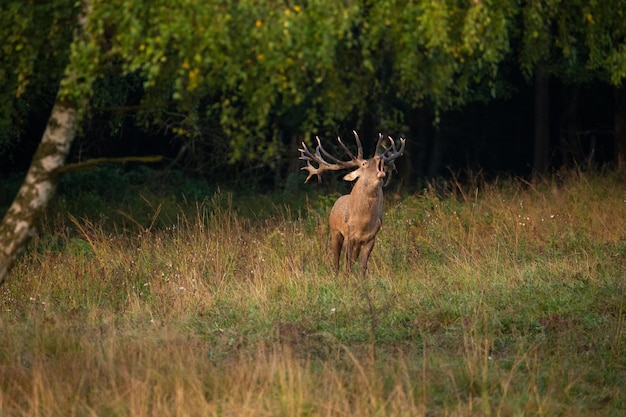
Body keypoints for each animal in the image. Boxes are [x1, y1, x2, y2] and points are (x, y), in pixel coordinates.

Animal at [298, 130, 404, 272]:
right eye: (364, 163)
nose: (380, 157)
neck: (363, 223)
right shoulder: (349, 235)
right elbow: (347, 264)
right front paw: (347, 276)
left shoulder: (371, 238)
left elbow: (362, 266)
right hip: (334, 231)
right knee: (336, 259)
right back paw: (336, 274)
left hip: (357, 243)